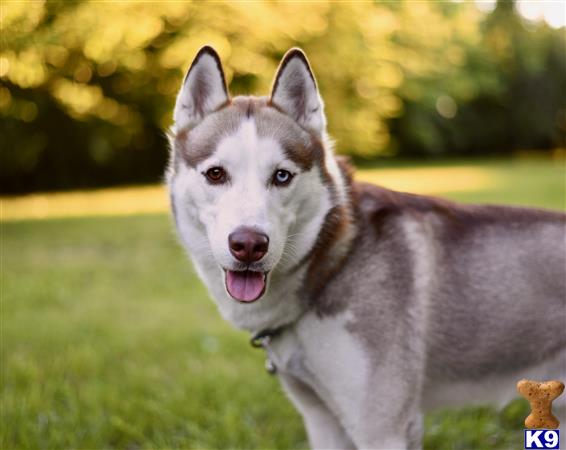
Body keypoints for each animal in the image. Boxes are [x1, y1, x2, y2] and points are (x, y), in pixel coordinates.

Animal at [168, 46, 566, 450]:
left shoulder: (383, 426)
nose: (249, 244)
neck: (333, 263)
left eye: (281, 176)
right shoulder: (321, 420)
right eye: (216, 174)